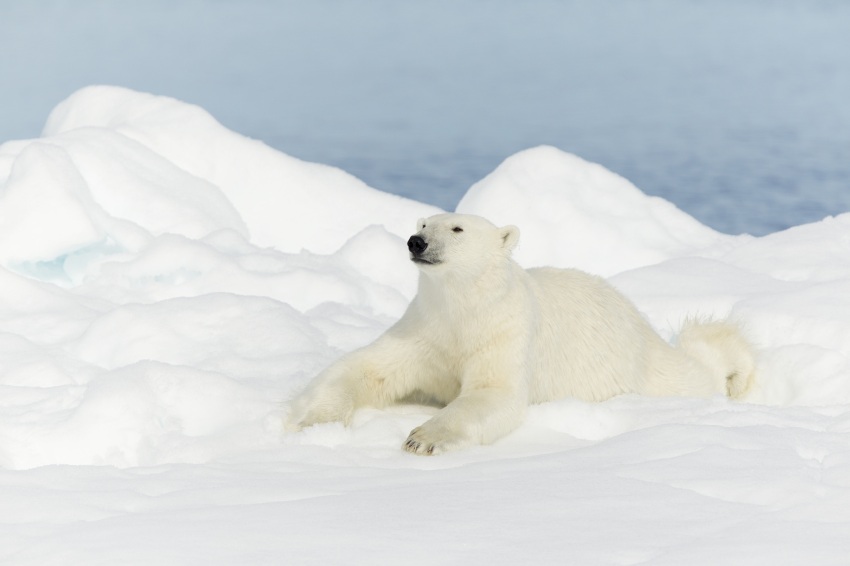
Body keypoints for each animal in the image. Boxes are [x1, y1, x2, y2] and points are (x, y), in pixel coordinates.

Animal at [286, 213, 756, 458]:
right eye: (422, 221)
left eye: (456, 228)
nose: (416, 242)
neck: (462, 311)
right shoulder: (423, 330)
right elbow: (366, 368)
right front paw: (314, 422)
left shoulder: (505, 332)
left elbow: (493, 393)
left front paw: (423, 438)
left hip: (635, 366)